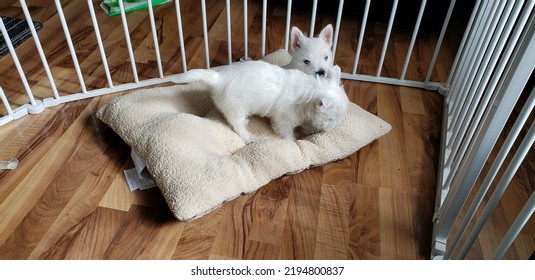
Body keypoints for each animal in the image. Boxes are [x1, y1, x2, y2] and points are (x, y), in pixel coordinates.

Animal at [172, 61, 348, 144]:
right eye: (330, 119)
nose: (331, 129)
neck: (309, 92)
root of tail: (219, 79)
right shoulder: (283, 118)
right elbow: (286, 131)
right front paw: (293, 140)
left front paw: (309, 129)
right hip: (236, 108)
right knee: (237, 124)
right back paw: (249, 136)